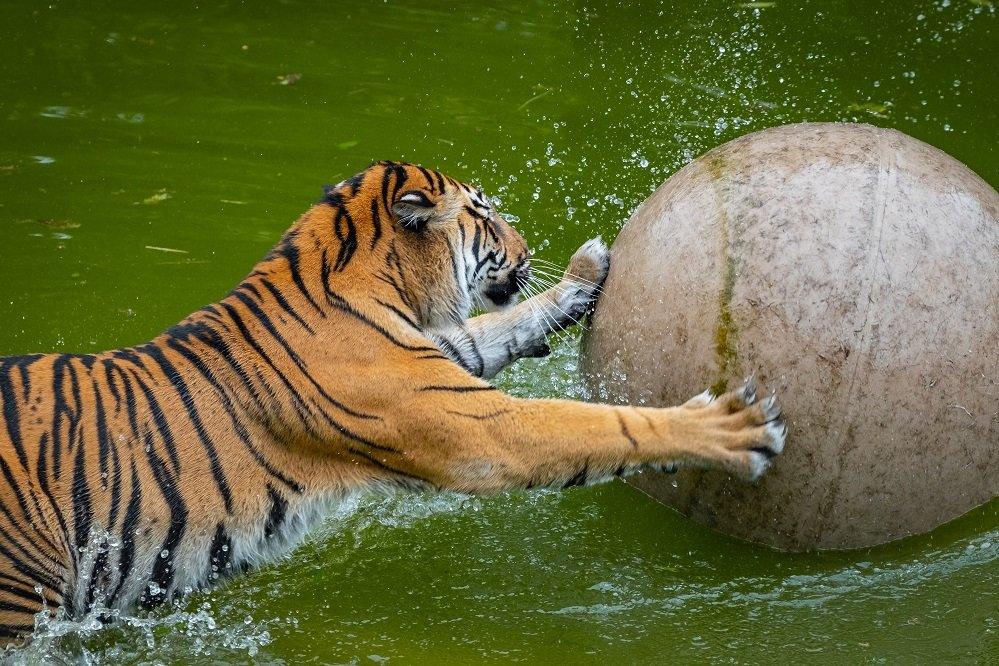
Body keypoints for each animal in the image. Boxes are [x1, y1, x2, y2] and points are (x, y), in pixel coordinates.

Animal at [0, 161, 788, 644]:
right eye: (486, 215)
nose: (528, 247)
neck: (368, 283)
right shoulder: (474, 429)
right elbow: (600, 426)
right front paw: (730, 428)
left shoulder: (435, 363)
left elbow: (492, 330)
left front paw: (583, 275)